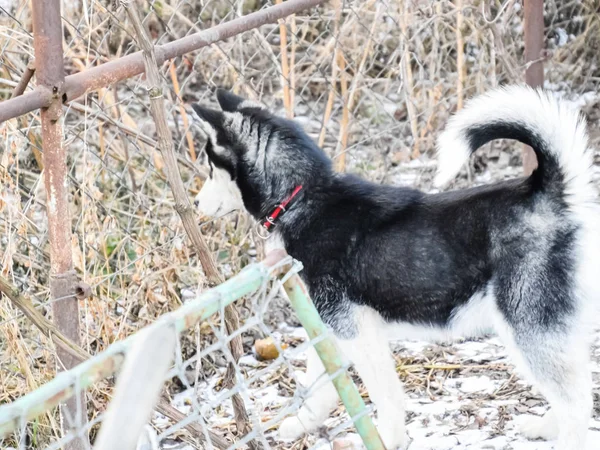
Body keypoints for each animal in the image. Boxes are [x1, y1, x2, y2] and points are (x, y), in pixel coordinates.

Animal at [192, 85, 600, 450]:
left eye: (210, 166)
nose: (194, 205)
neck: (303, 198)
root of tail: (546, 193)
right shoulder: (328, 324)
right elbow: (321, 382)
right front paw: (299, 424)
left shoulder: (355, 329)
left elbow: (386, 398)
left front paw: (388, 440)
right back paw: (544, 426)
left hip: (527, 324)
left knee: (577, 399)